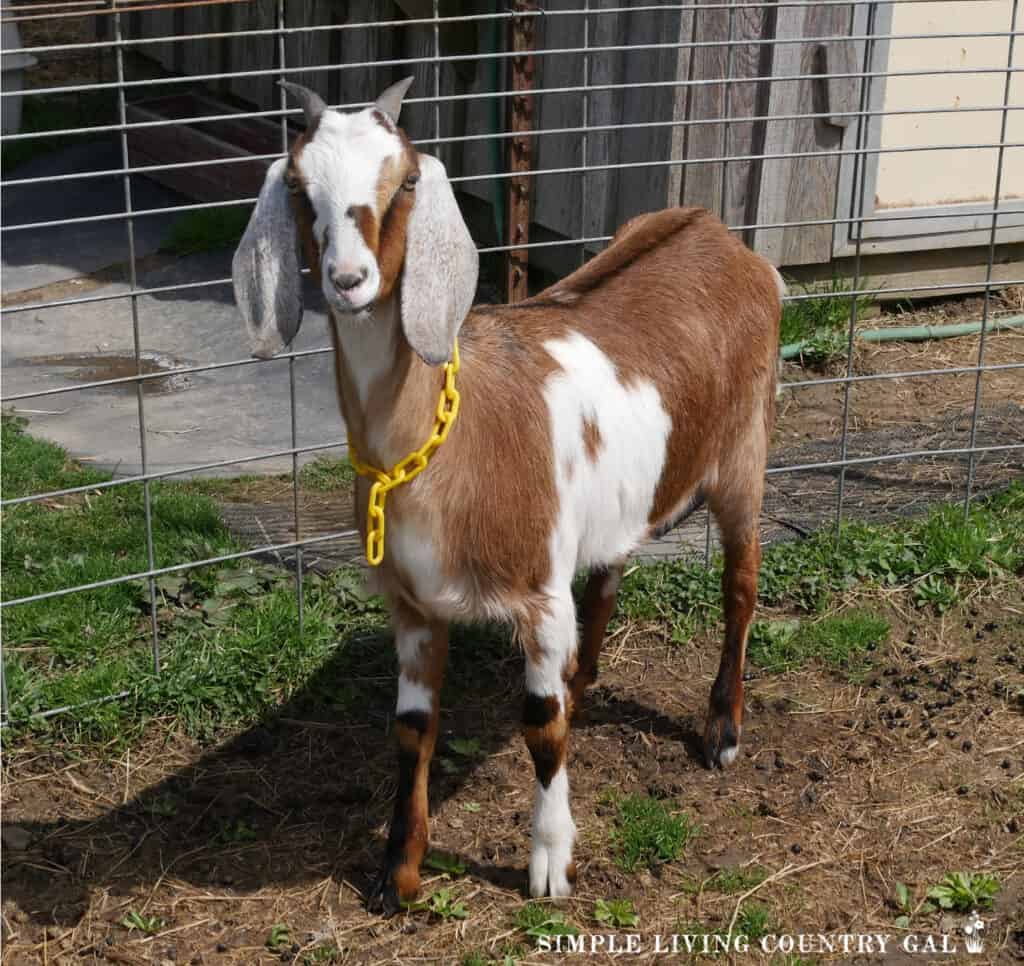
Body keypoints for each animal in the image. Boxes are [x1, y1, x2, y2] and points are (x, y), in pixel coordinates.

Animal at [230, 77, 774, 913]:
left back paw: (721, 730)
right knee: (610, 576)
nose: (348, 281)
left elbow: (541, 727)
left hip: (745, 452)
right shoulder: (413, 606)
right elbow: (411, 730)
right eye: (297, 185)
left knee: (740, 587)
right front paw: (398, 870)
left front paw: (550, 862)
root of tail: (716, 231)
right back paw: (587, 677)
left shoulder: (538, 597)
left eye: (406, 181)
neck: (442, 444)